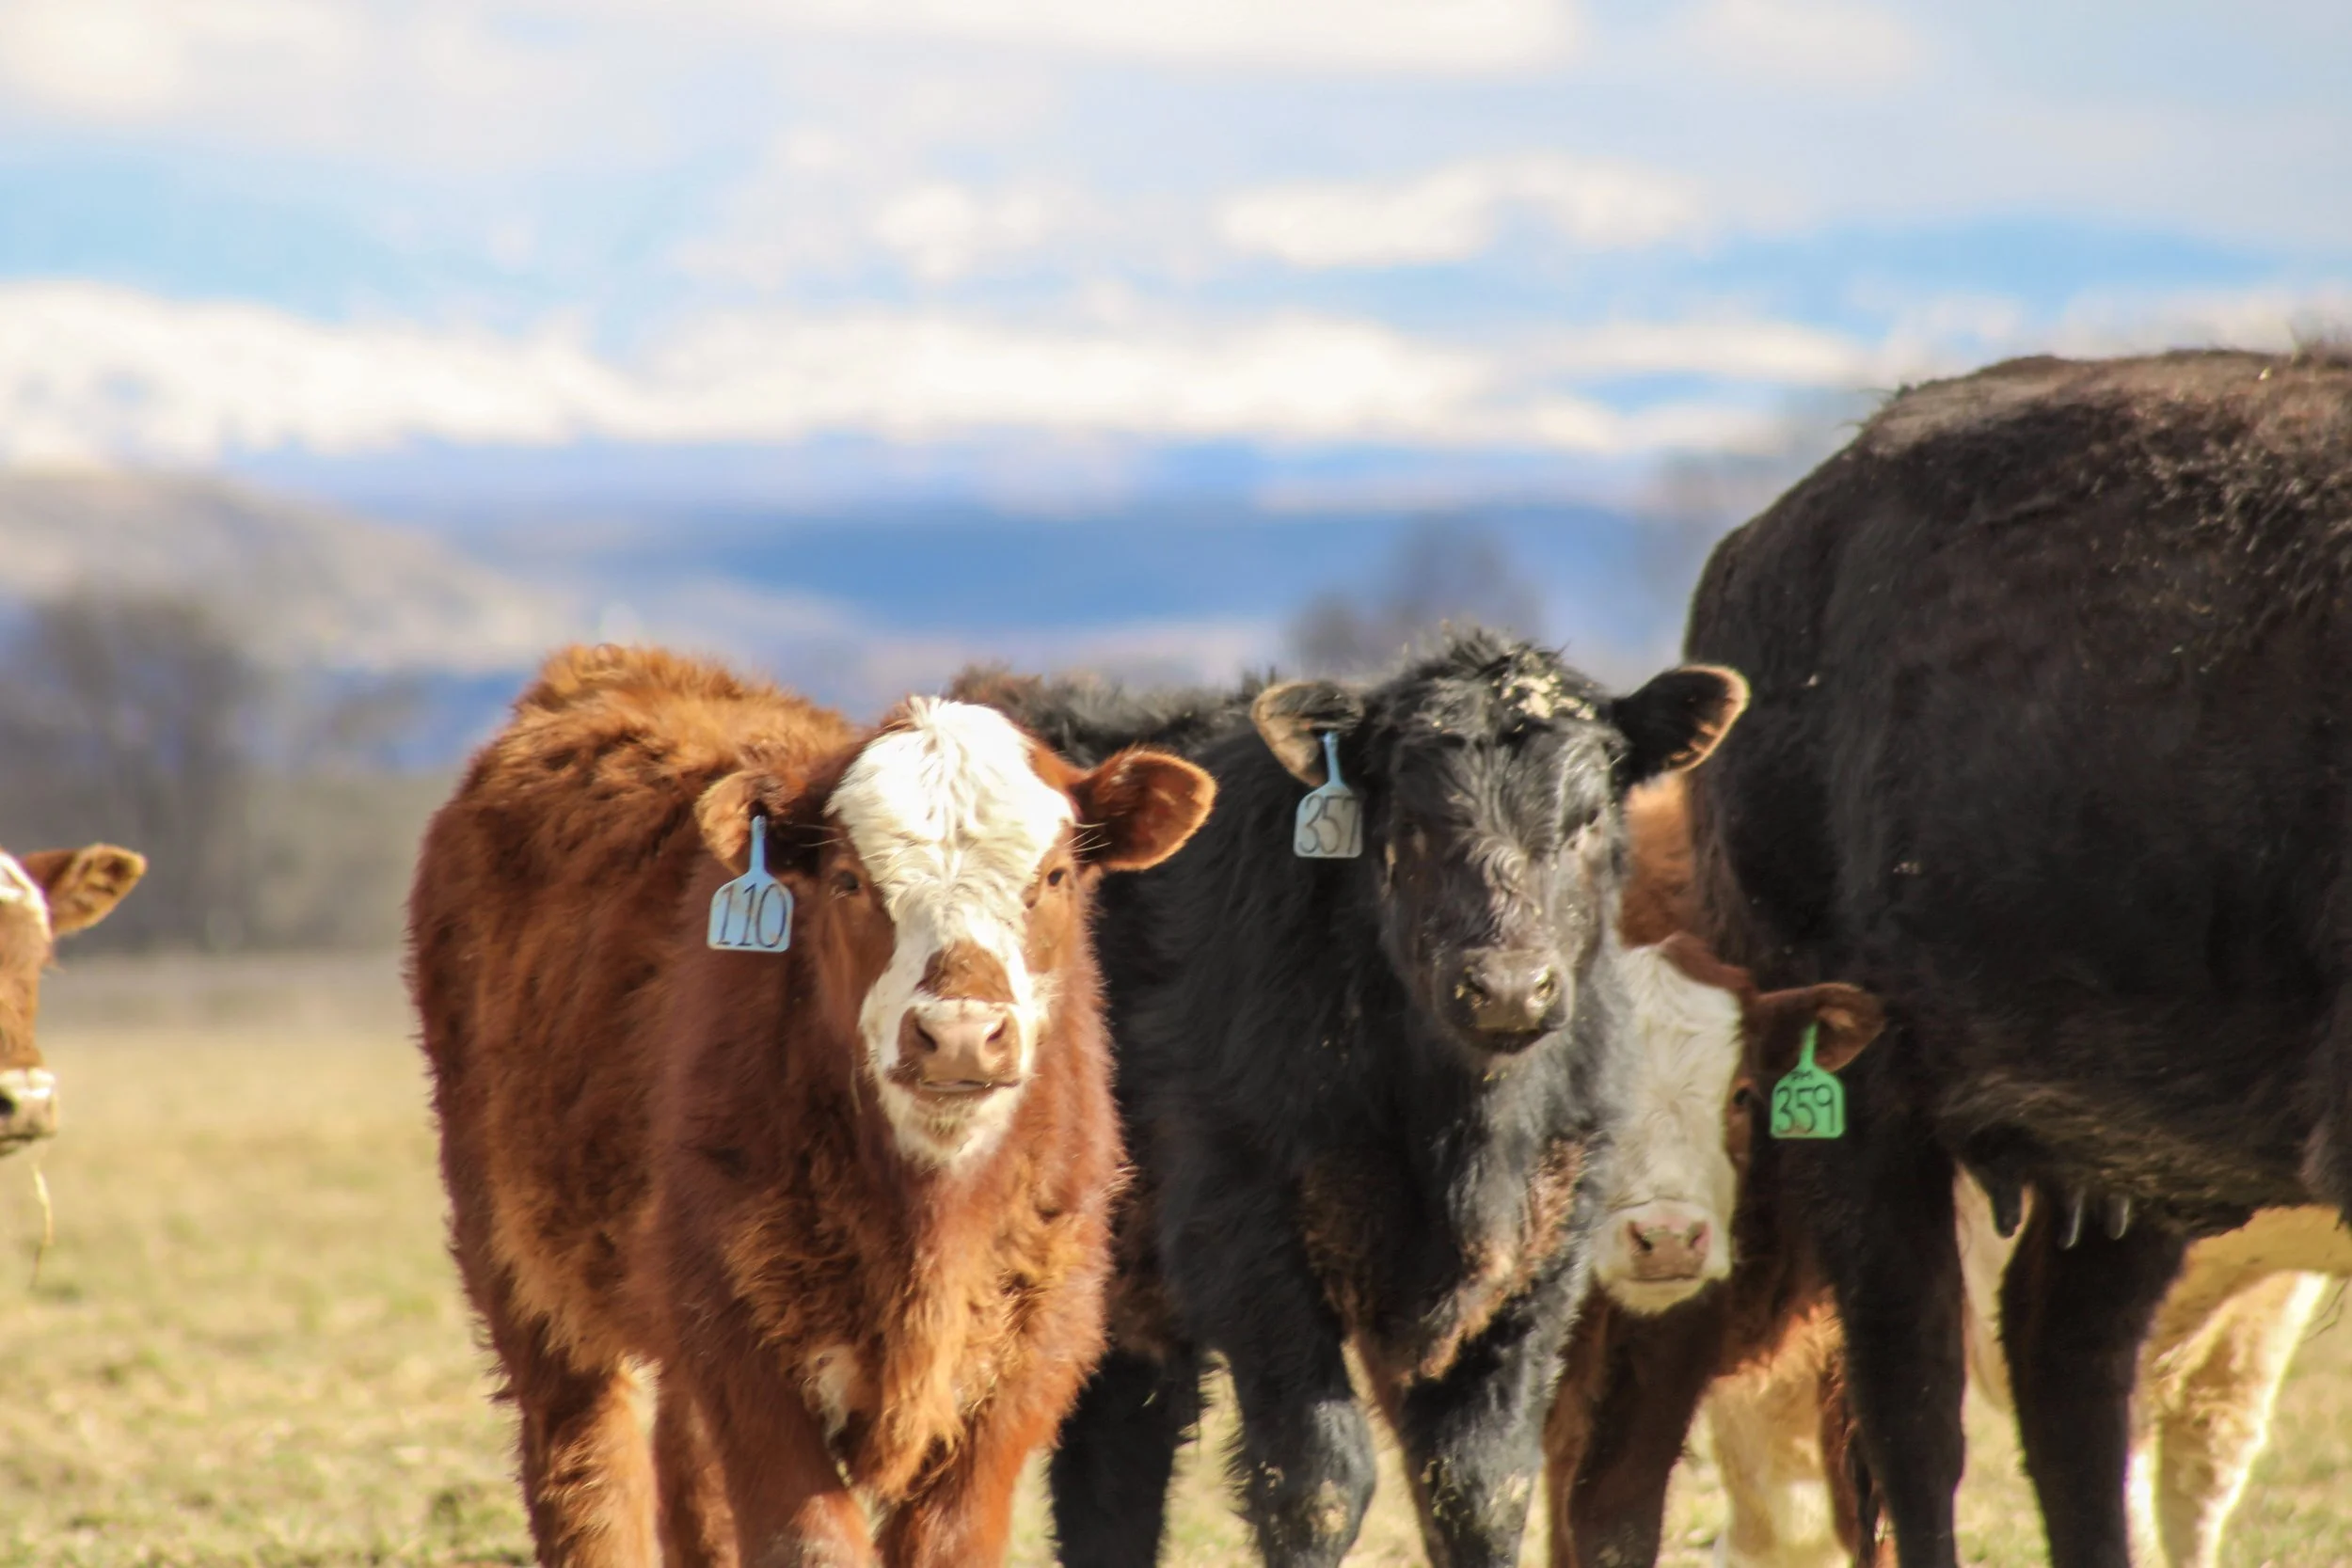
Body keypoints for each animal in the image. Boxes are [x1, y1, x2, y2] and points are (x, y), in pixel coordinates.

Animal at [407, 645, 1214, 1568]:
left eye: (1052, 876)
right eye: (848, 879)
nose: (959, 1033)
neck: (928, 1217)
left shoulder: (1030, 1347)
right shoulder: (745, 1344)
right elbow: (809, 1540)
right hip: (517, 1257)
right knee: (584, 1461)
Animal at [956, 628, 1751, 1568]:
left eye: (1589, 818)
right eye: (1410, 823)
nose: (1508, 988)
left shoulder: (1543, 1256)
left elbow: (1481, 1483)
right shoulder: (1241, 1230)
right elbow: (1317, 1481)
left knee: (1111, 1469)